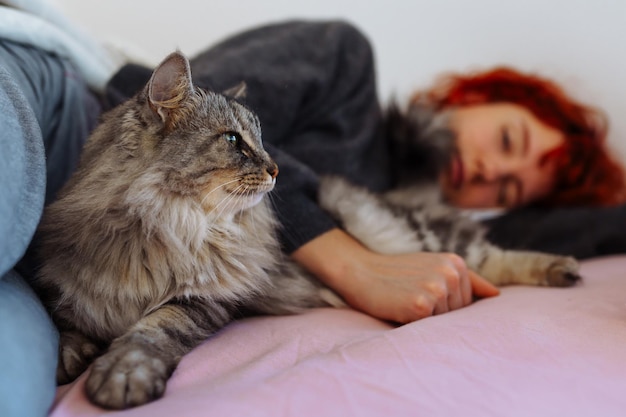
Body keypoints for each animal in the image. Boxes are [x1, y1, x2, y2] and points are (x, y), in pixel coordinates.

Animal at [34, 49, 576, 410]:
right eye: (234, 141)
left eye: (261, 140)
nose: (277, 169)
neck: (168, 226)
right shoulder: (63, 284)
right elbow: (63, 327)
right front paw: (70, 357)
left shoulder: (201, 300)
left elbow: (150, 332)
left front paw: (123, 373)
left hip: (398, 230)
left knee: (485, 255)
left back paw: (562, 270)